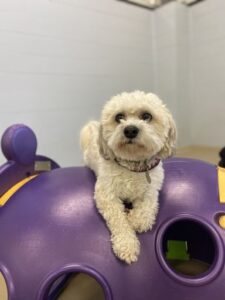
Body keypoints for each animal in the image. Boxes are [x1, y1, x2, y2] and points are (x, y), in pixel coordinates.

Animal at [80, 92, 177, 264]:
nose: (130, 129)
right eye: (119, 117)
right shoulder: (106, 195)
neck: (132, 166)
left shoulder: (151, 191)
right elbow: (118, 220)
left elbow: (147, 210)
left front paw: (134, 220)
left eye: (146, 116)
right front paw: (127, 244)